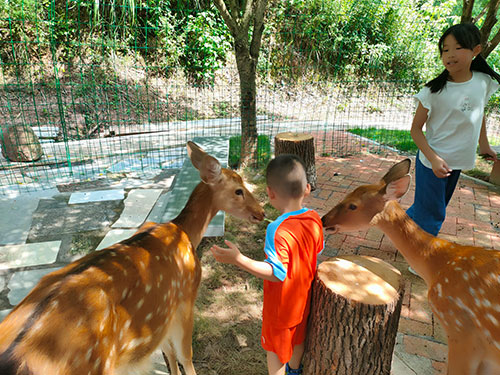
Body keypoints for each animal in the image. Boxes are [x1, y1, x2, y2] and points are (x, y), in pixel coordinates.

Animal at [0, 141, 266, 375]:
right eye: (239, 190)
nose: (262, 212)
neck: (186, 232)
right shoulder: (185, 297)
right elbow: (185, 356)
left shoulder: (161, 313)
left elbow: (169, 354)